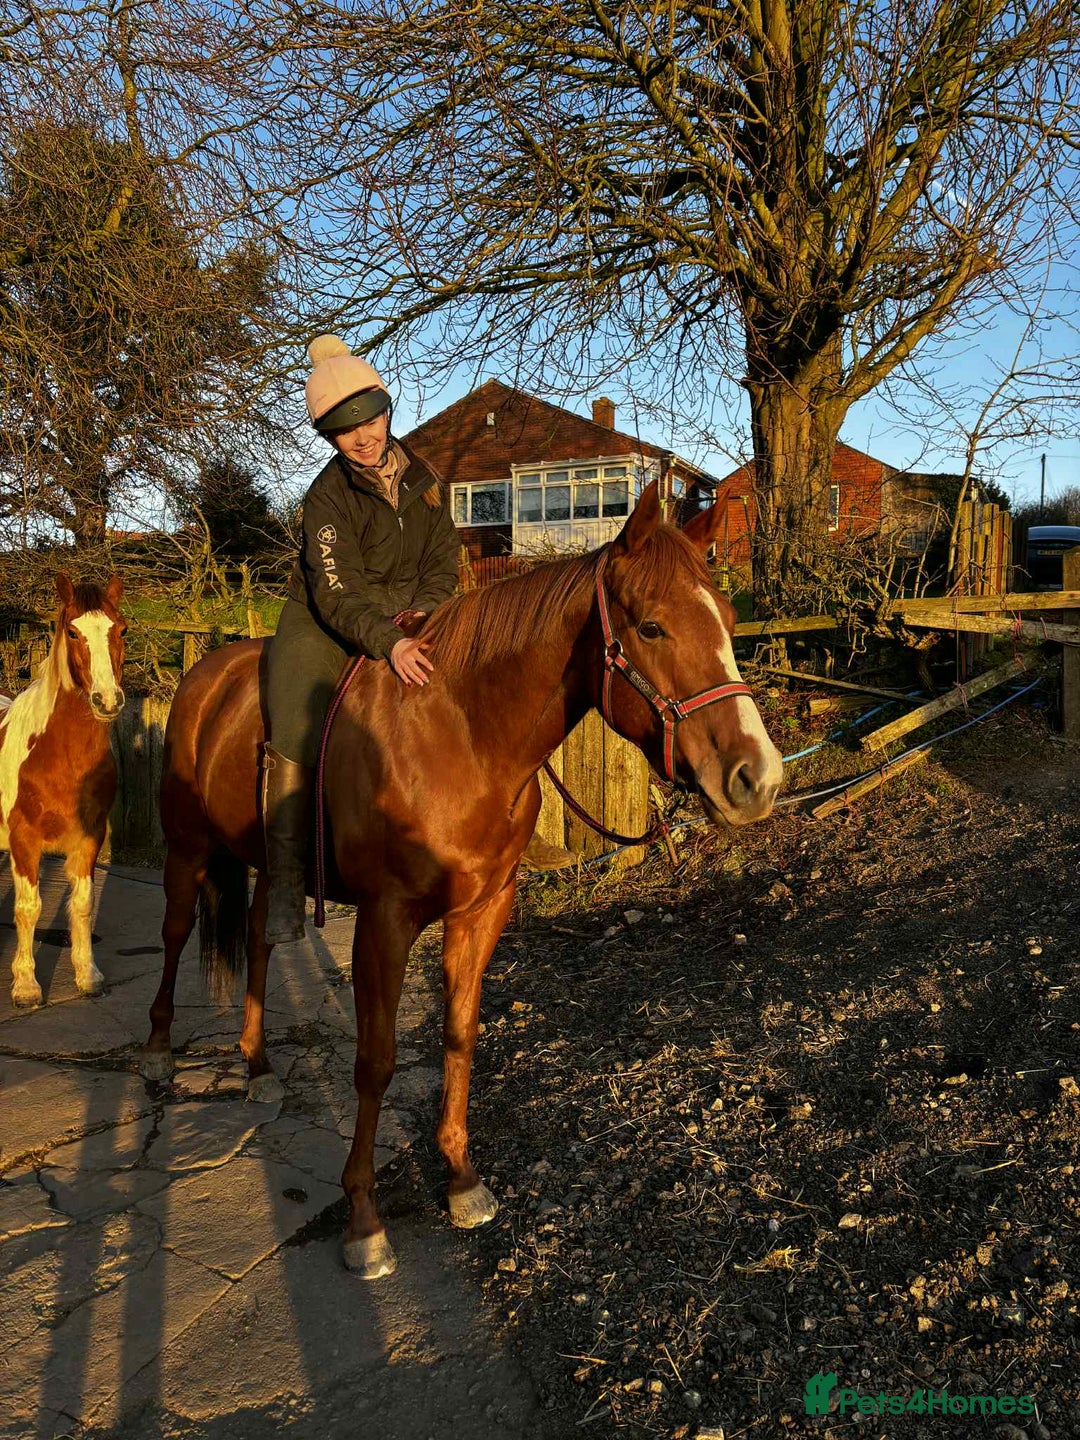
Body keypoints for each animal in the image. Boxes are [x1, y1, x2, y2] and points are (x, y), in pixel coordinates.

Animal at [1, 573, 126, 1007]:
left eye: (121, 630)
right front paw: (25, 985)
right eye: (72, 632)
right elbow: (28, 908)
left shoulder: (89, 839)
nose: (107, 700)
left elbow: (83, 904)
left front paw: (87, 975)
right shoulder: (23, 843)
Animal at [140, 483, 783, 1277]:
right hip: (186, 851)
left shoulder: (481, 910)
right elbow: (376, 1061)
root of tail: (203, 675)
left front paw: (461, 1179)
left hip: (268, 866)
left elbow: (459, 1037)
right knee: (174, 935)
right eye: (653, 626)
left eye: (727, 619)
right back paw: (159, 1052)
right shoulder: (385, 921)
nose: (756, 779)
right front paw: (363, 1220)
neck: (460, 734)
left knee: (262, 936)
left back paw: (257, 1065)